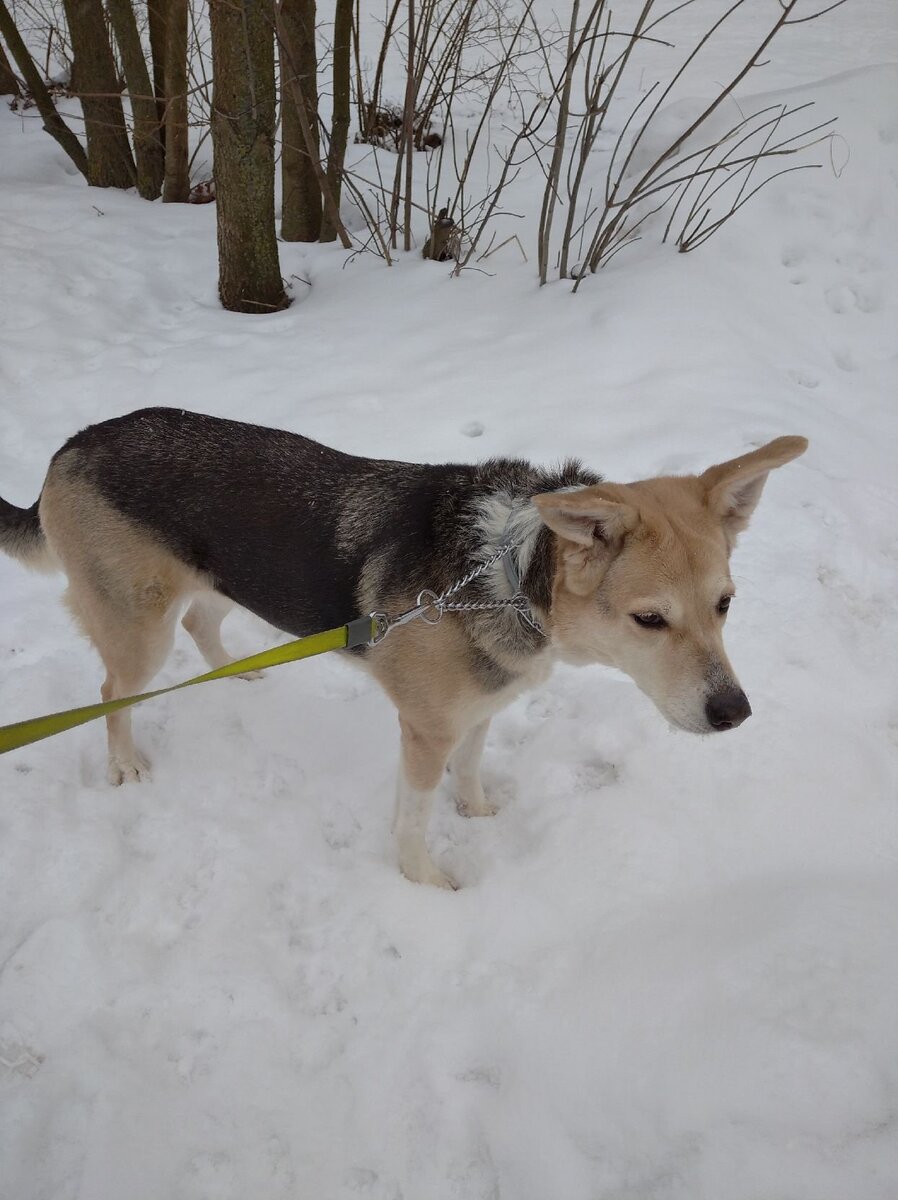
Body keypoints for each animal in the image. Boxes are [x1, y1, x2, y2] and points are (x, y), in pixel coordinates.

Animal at [0, 408, 806, 888]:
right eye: (649, 620)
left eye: (725, 605)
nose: (734, 712)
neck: (508, 573)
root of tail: (69, 446)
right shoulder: (423, 730)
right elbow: (412, 821)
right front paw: (429, 886)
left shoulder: (479, 708)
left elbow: (471, 769)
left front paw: (478, 813)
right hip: (140, 623)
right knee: (113, 690)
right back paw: (126, 763)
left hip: (212, 583)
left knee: (203, 626)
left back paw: (239, 679)